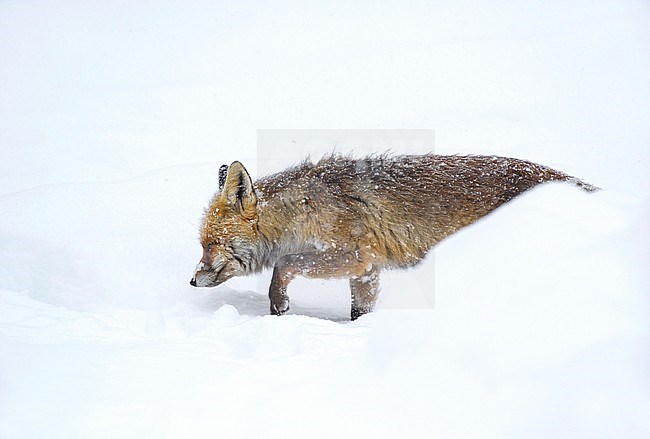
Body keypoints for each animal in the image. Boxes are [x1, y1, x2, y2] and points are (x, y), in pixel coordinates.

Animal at [189, 154, 596, 320]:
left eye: (211, 244)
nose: (192, 281)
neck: (305, 210)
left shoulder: (356, 256)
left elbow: (284, 266)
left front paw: (279, 306)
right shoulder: (367, 272)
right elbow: (359, 312)